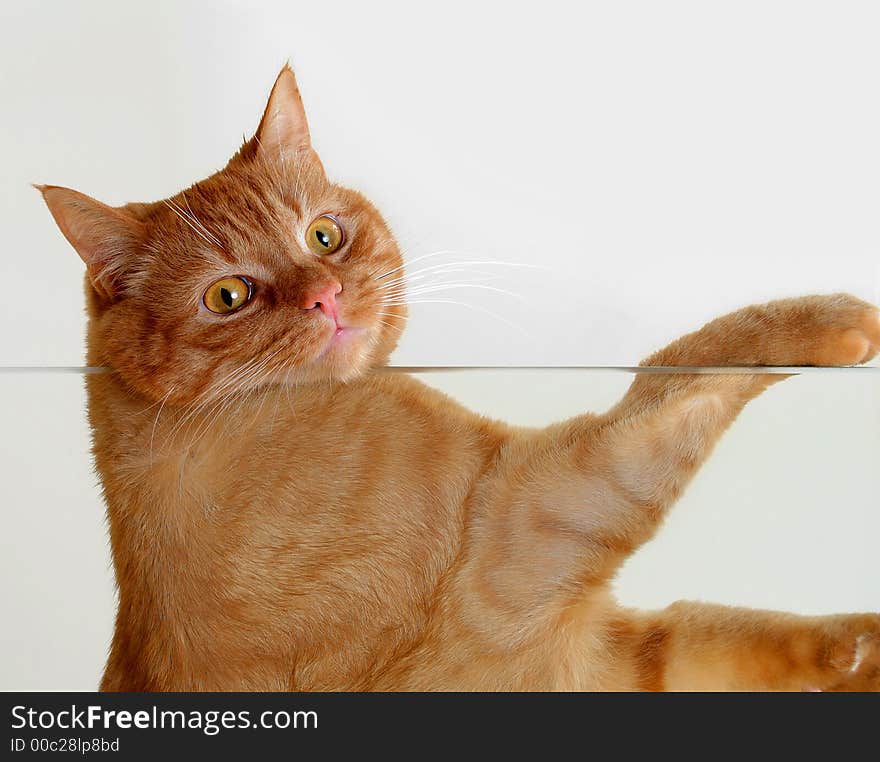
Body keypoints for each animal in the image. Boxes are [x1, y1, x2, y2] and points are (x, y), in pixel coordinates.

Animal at [39, 65, 880, 688]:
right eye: (227, 297)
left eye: (323, 235)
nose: (325, 295)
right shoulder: (538, 514)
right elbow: (688, 365)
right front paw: (838, 322)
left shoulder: (623, 656)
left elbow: (736, 636)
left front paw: (863, 652)